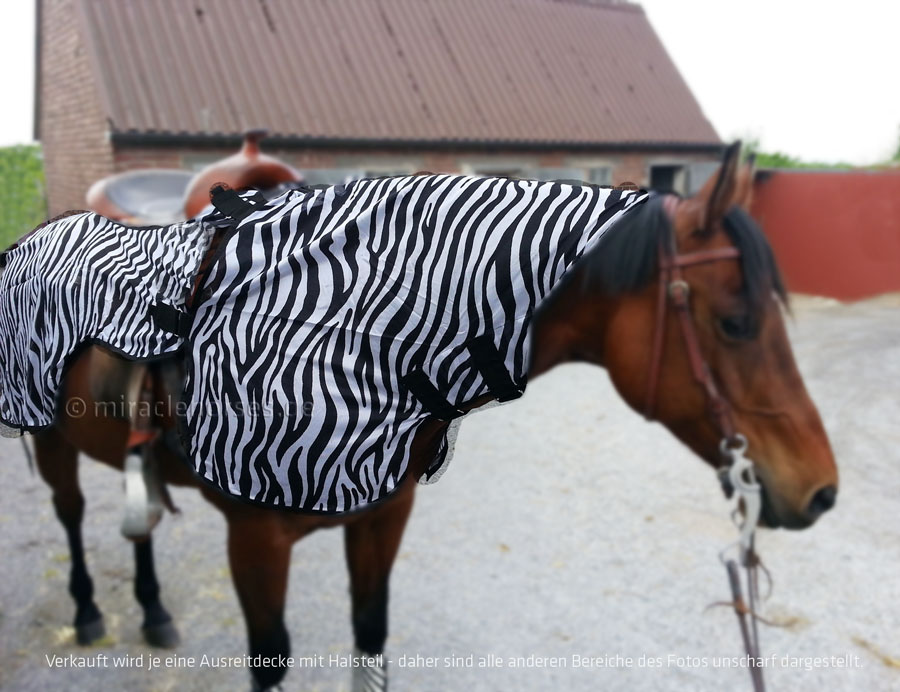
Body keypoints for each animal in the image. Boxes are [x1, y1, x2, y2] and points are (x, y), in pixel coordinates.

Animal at [26, 143, 838, 691]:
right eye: (735, 323)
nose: (822, 490)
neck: (343, 343)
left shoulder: (382, 518)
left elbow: (370, 635)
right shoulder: (255, 543)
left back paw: (155, 612)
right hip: (46, 435)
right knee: (69, 511)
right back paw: (90, 611)